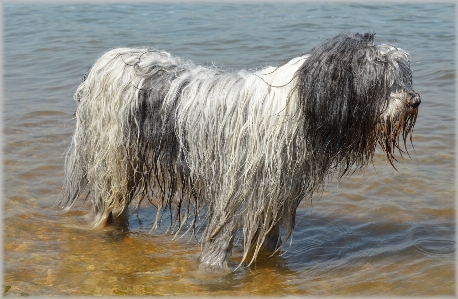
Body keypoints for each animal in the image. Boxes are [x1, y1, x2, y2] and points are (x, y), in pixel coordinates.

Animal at [59, 32, 420, 272]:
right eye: (379, 80)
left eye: (402, 77)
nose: (414, 100)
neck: (299, 106)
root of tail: (108, 59)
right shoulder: (234, 189)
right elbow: (220, 238)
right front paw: (213, 271)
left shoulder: (276, 192)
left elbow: (268, 238)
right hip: (111, 158)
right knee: (105, 204)